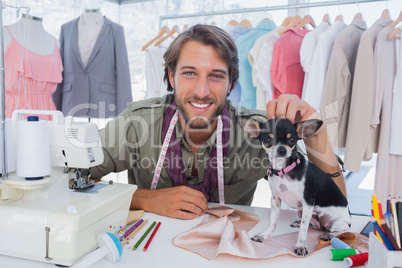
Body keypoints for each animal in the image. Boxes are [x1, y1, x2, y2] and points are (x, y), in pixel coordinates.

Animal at [240, 117, 350, 255]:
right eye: (268, 140)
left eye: (292, 140)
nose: (282, 150)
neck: (283, 170)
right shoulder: (276, 199)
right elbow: (273, 222)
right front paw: (264, 235)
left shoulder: (308, 202)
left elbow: (304, 228)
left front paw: (301, 245)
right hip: (303, 212)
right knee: (314, 224)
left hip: (336, 222)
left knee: (343, 231)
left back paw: (329, 235)